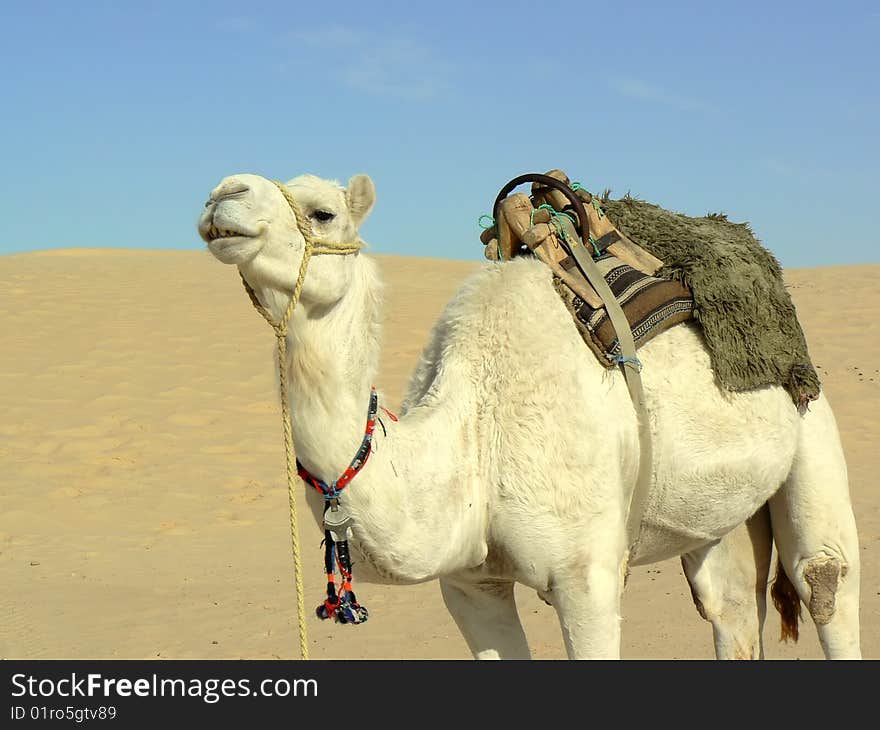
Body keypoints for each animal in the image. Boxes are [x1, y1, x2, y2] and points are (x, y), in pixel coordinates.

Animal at [198, 172, 860, 660]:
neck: (472, 436)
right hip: (715, 512)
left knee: (824, 578)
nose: (222, 193)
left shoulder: (587, 578)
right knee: (730, 608)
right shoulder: (469, 586)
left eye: (322, 213)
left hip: (812, 420)